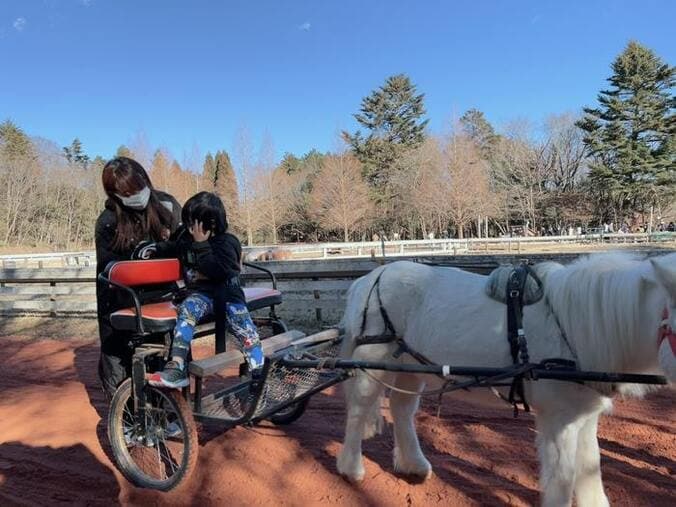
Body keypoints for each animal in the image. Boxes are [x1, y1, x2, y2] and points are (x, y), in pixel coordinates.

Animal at [338, 252, 676, 506]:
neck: (577, 323)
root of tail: (369, 278)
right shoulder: (559, 420)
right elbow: (563, 477)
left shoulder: (584, 416)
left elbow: (590, 469)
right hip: (373, 358)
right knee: (359, 408)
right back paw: (351, 468)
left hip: (410, 365)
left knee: (402, 408)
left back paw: (414, 465)